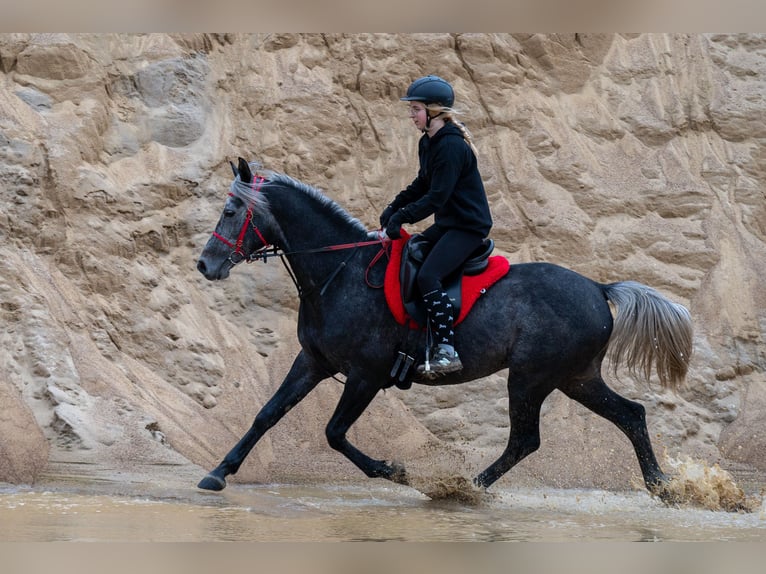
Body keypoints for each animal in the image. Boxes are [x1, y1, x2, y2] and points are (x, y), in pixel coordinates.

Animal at [195, 159, 692, 504]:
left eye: (231, 210)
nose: (205, 265)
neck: (340, 270)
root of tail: (598, 288)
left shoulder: (366, 375)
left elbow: (334, 432)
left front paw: (397, 472)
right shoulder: (313, 362)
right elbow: (266, 414)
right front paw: (218, 473)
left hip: (532, 379)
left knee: (525, 440)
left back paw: (462, 487)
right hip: (576, 377)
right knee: (631, 415)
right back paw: (661, 486)